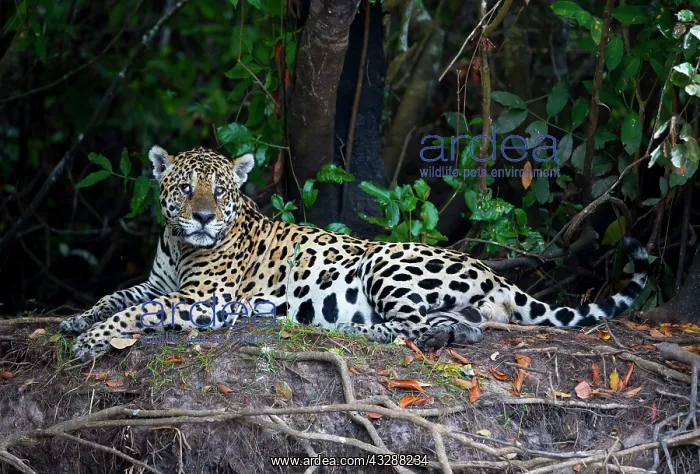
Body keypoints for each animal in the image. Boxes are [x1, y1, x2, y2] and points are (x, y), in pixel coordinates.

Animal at [61, 146, 650, 361]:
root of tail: (497, 275)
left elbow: (138, 311)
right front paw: (77, 321)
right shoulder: (162, 283)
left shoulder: (202, 298)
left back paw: (336, 327)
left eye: (220, 192)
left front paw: (91, 340)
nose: (203, 217)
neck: (182, 246)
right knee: (461, 327)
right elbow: (118, 295)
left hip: (386, 265)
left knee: (405, 327)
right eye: (185, 189)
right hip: (451, 300)